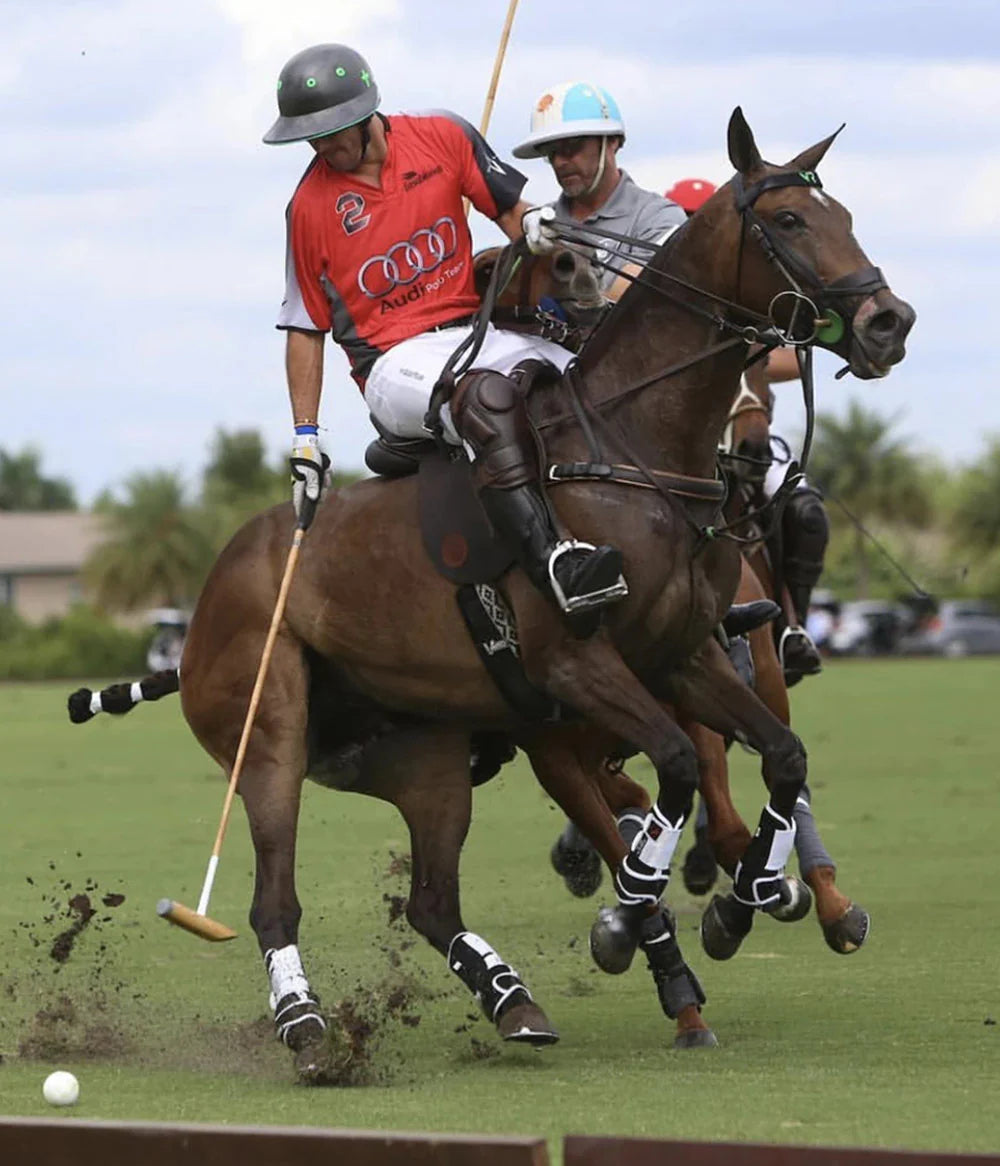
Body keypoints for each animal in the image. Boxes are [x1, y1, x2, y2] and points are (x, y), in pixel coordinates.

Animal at [71, 109, 913, 1072]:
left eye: (842, 214)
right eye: (788, 221)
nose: (889, 321)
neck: (631, 447)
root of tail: (208, 599)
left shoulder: (685, 655)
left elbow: (778, 756)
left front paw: (742, 903)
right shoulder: (575, 670)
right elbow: (670, 768)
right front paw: (642, 899)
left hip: (423, 759)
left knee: (434, 900)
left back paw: (514, 1001)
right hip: (268, 736)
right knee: (271, 897)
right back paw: (307, 1025)